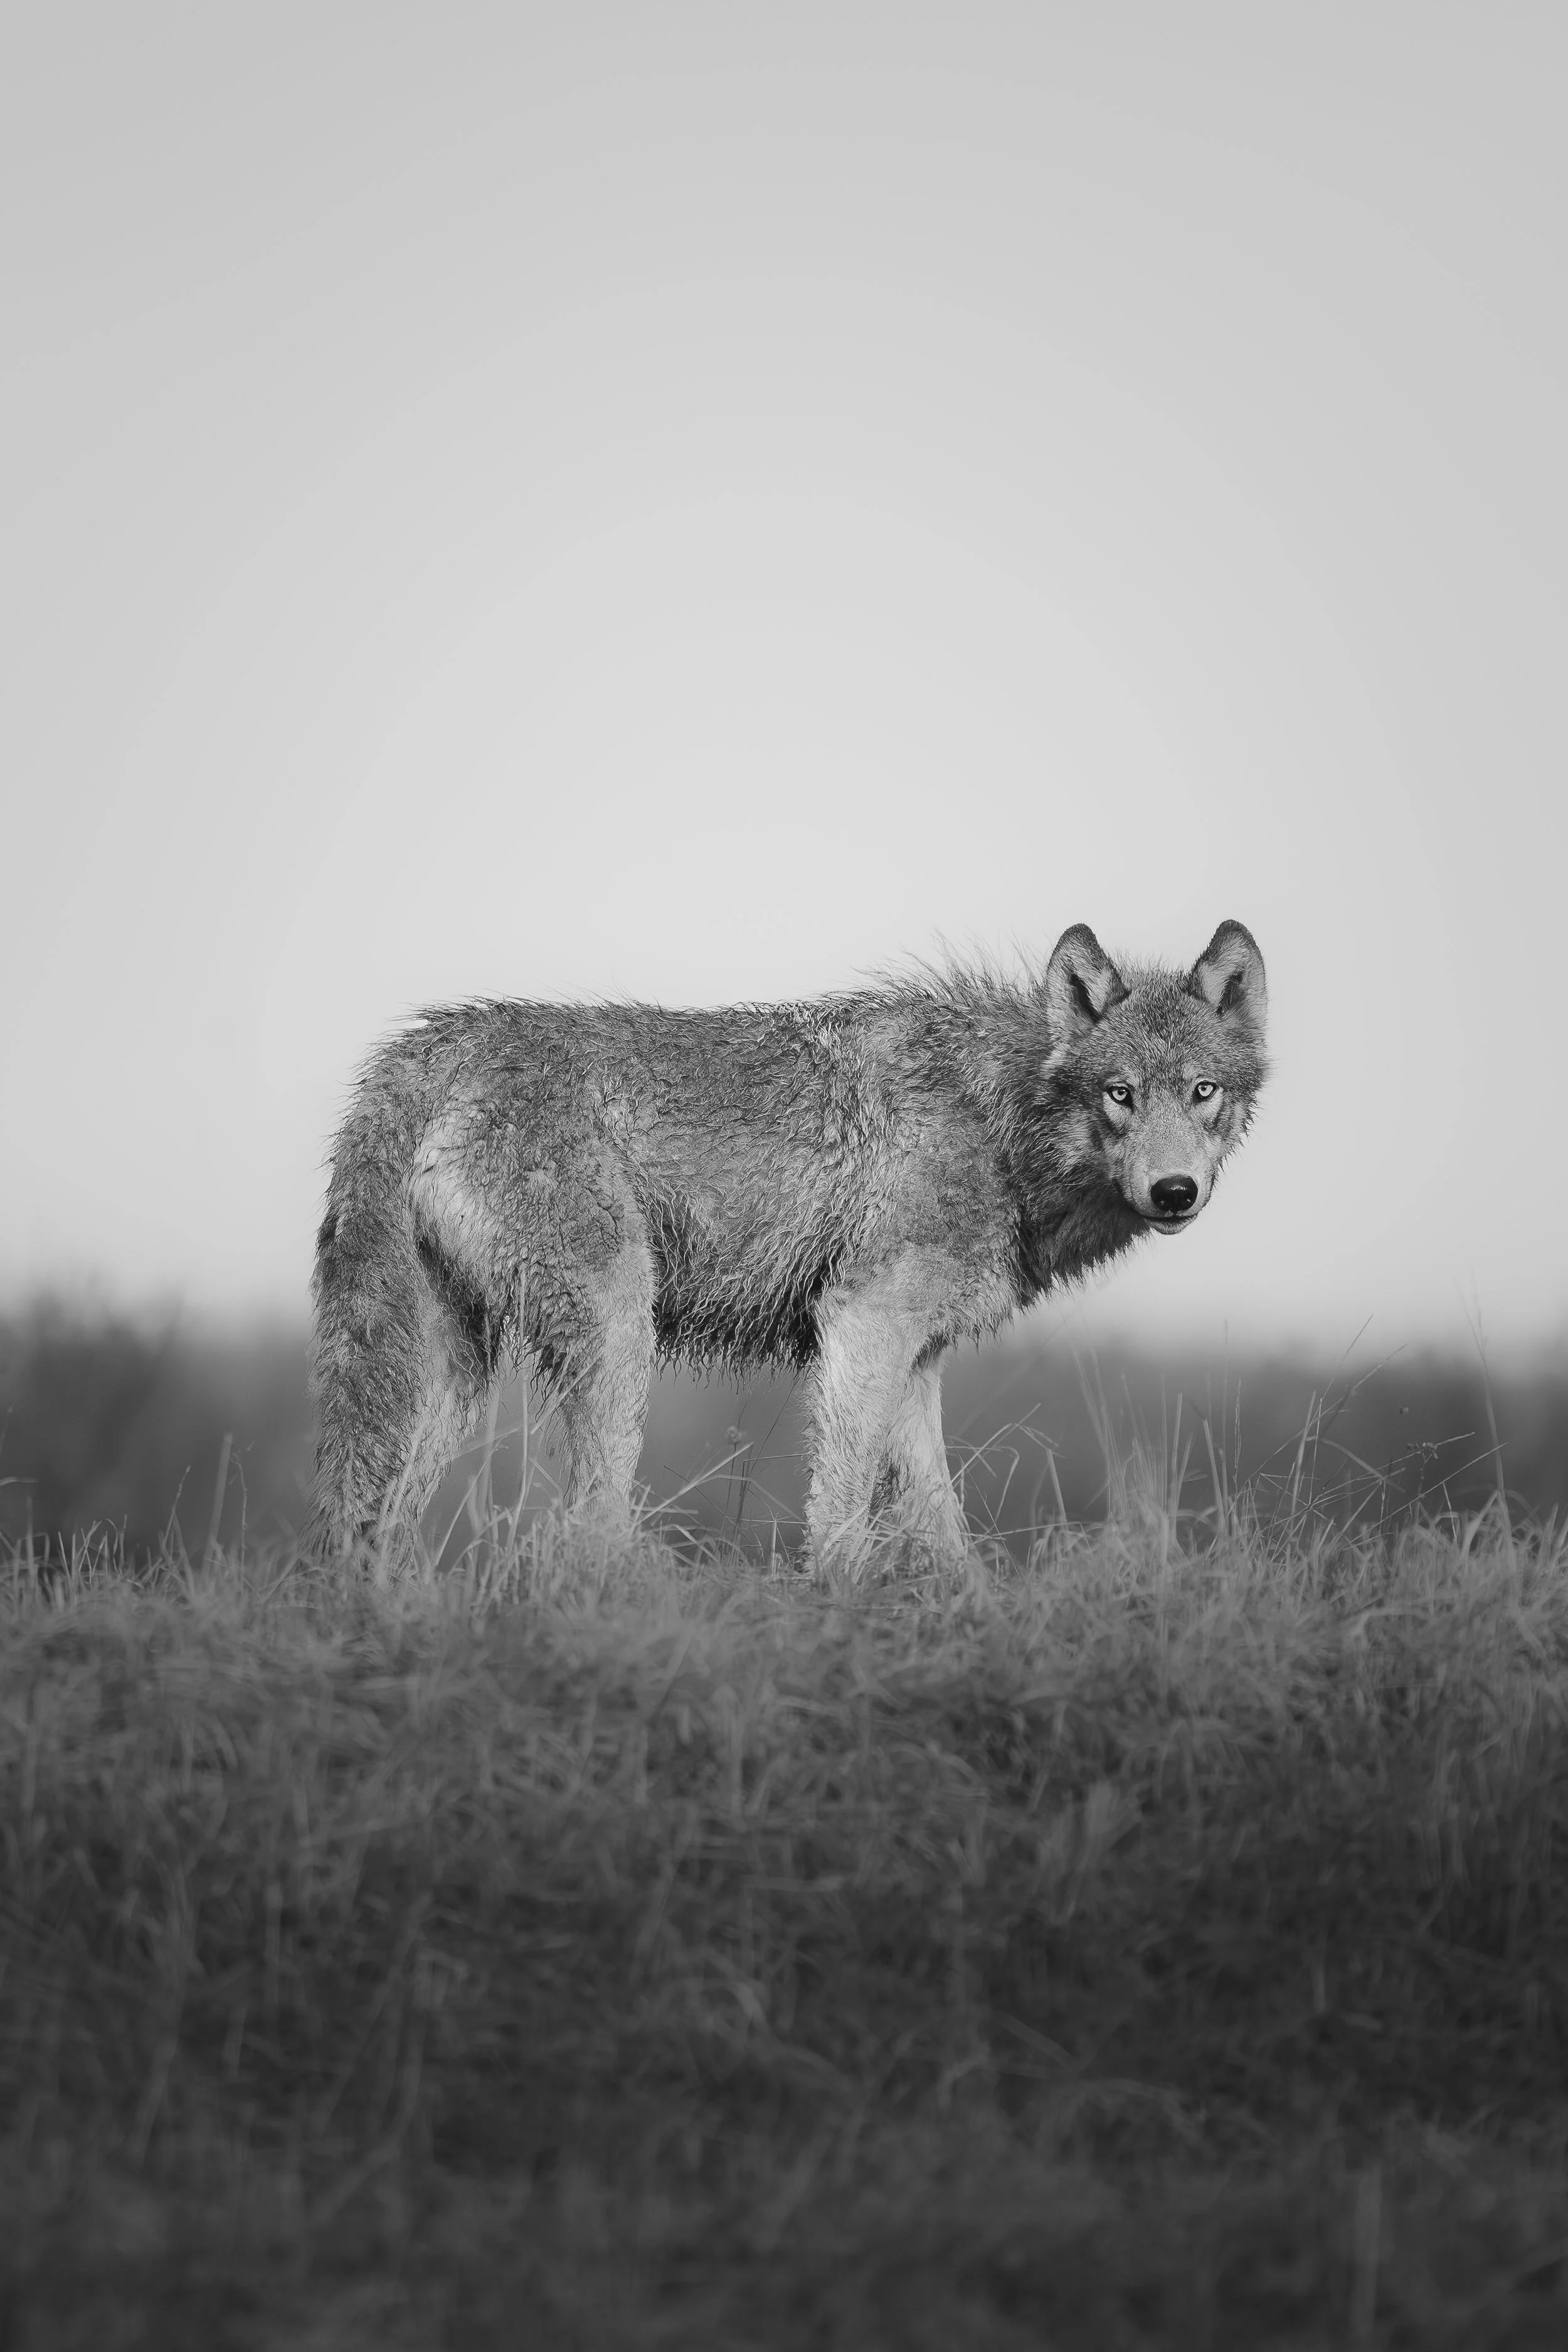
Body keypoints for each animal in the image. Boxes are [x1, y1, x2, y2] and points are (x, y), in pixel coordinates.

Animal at [309, 920, 1266, 1565]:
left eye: (1203, 1090)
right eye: (1120, 1093)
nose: (1174, 1191)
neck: (1000, 1123)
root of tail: (424, 1049)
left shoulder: (914, 1362)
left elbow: (945, 1537)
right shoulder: (862, 1325)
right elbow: (839, 1522)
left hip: (455, 1378)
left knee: (374, 1528)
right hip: (618, 1340)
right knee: (584, 1529)